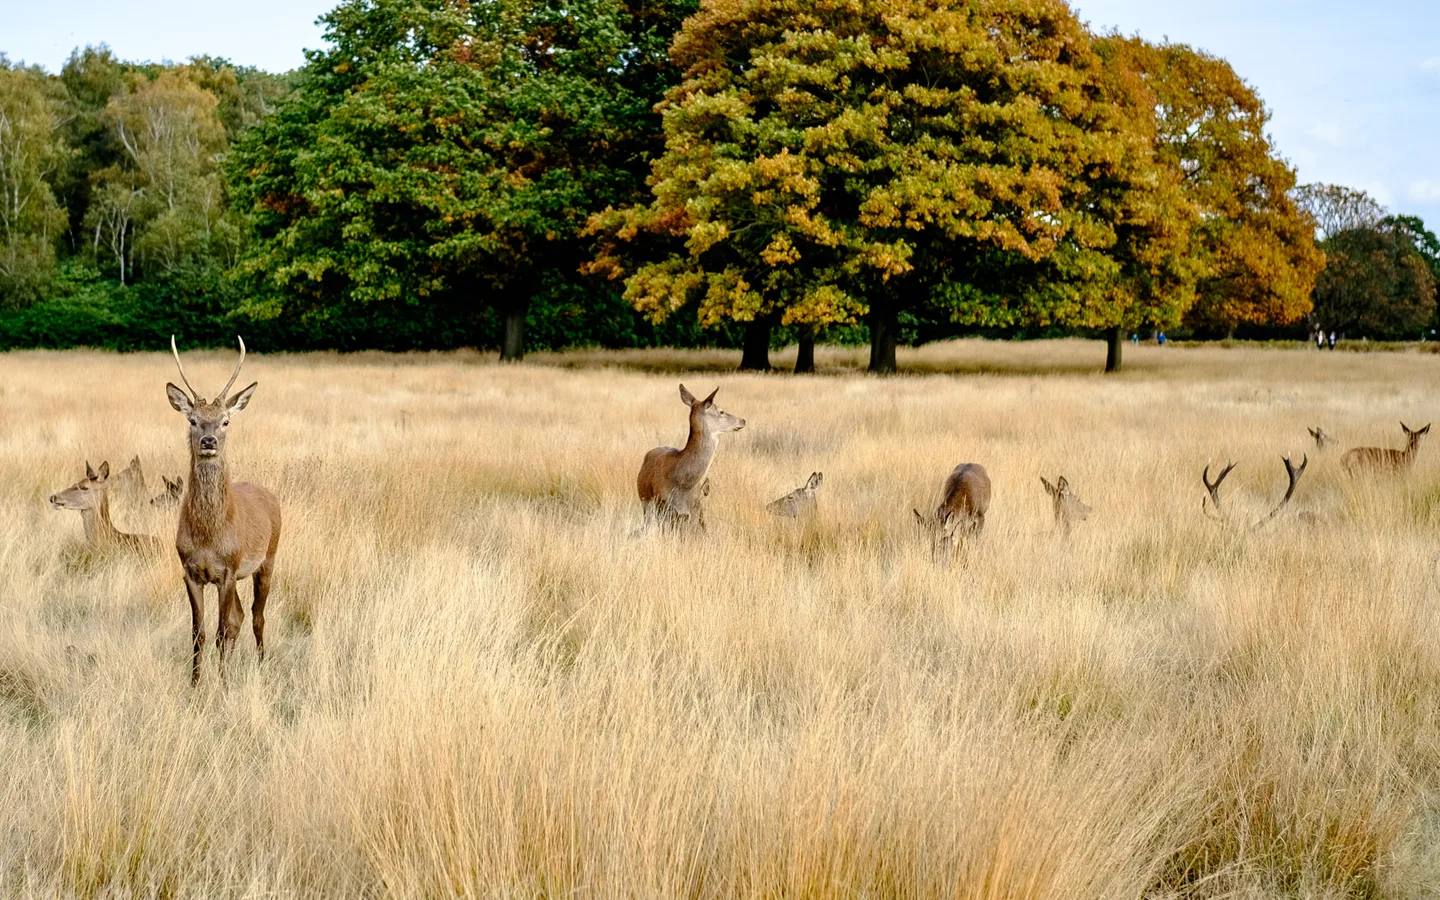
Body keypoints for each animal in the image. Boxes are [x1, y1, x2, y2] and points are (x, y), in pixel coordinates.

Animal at [166, 336, 282, 684]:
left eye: (225, 421)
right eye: (192, 419)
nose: (208, 440)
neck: (208, 538)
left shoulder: (228, 569)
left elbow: (220, 630)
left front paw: (223, 684)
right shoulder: (190, 571)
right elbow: (199, 633)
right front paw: (195, 684)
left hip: (268, 558)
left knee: (257, 616)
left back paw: (261, 664)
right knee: (240, 617)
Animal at [637, 384, 745, 530]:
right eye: (721, 411)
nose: (743, 420)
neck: (682, 482)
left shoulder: (695, 507)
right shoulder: (664, 505)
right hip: (646, 502)